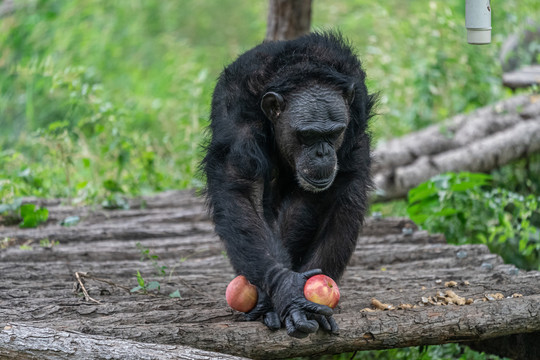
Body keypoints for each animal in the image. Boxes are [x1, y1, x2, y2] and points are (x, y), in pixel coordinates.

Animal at [200, 31, 374, 338]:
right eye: (308, 135)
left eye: (334, 133)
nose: (322, 153)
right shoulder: (237, 117)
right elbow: (242, 190)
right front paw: (286, 290)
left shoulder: (355, 115)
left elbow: (326, 194)